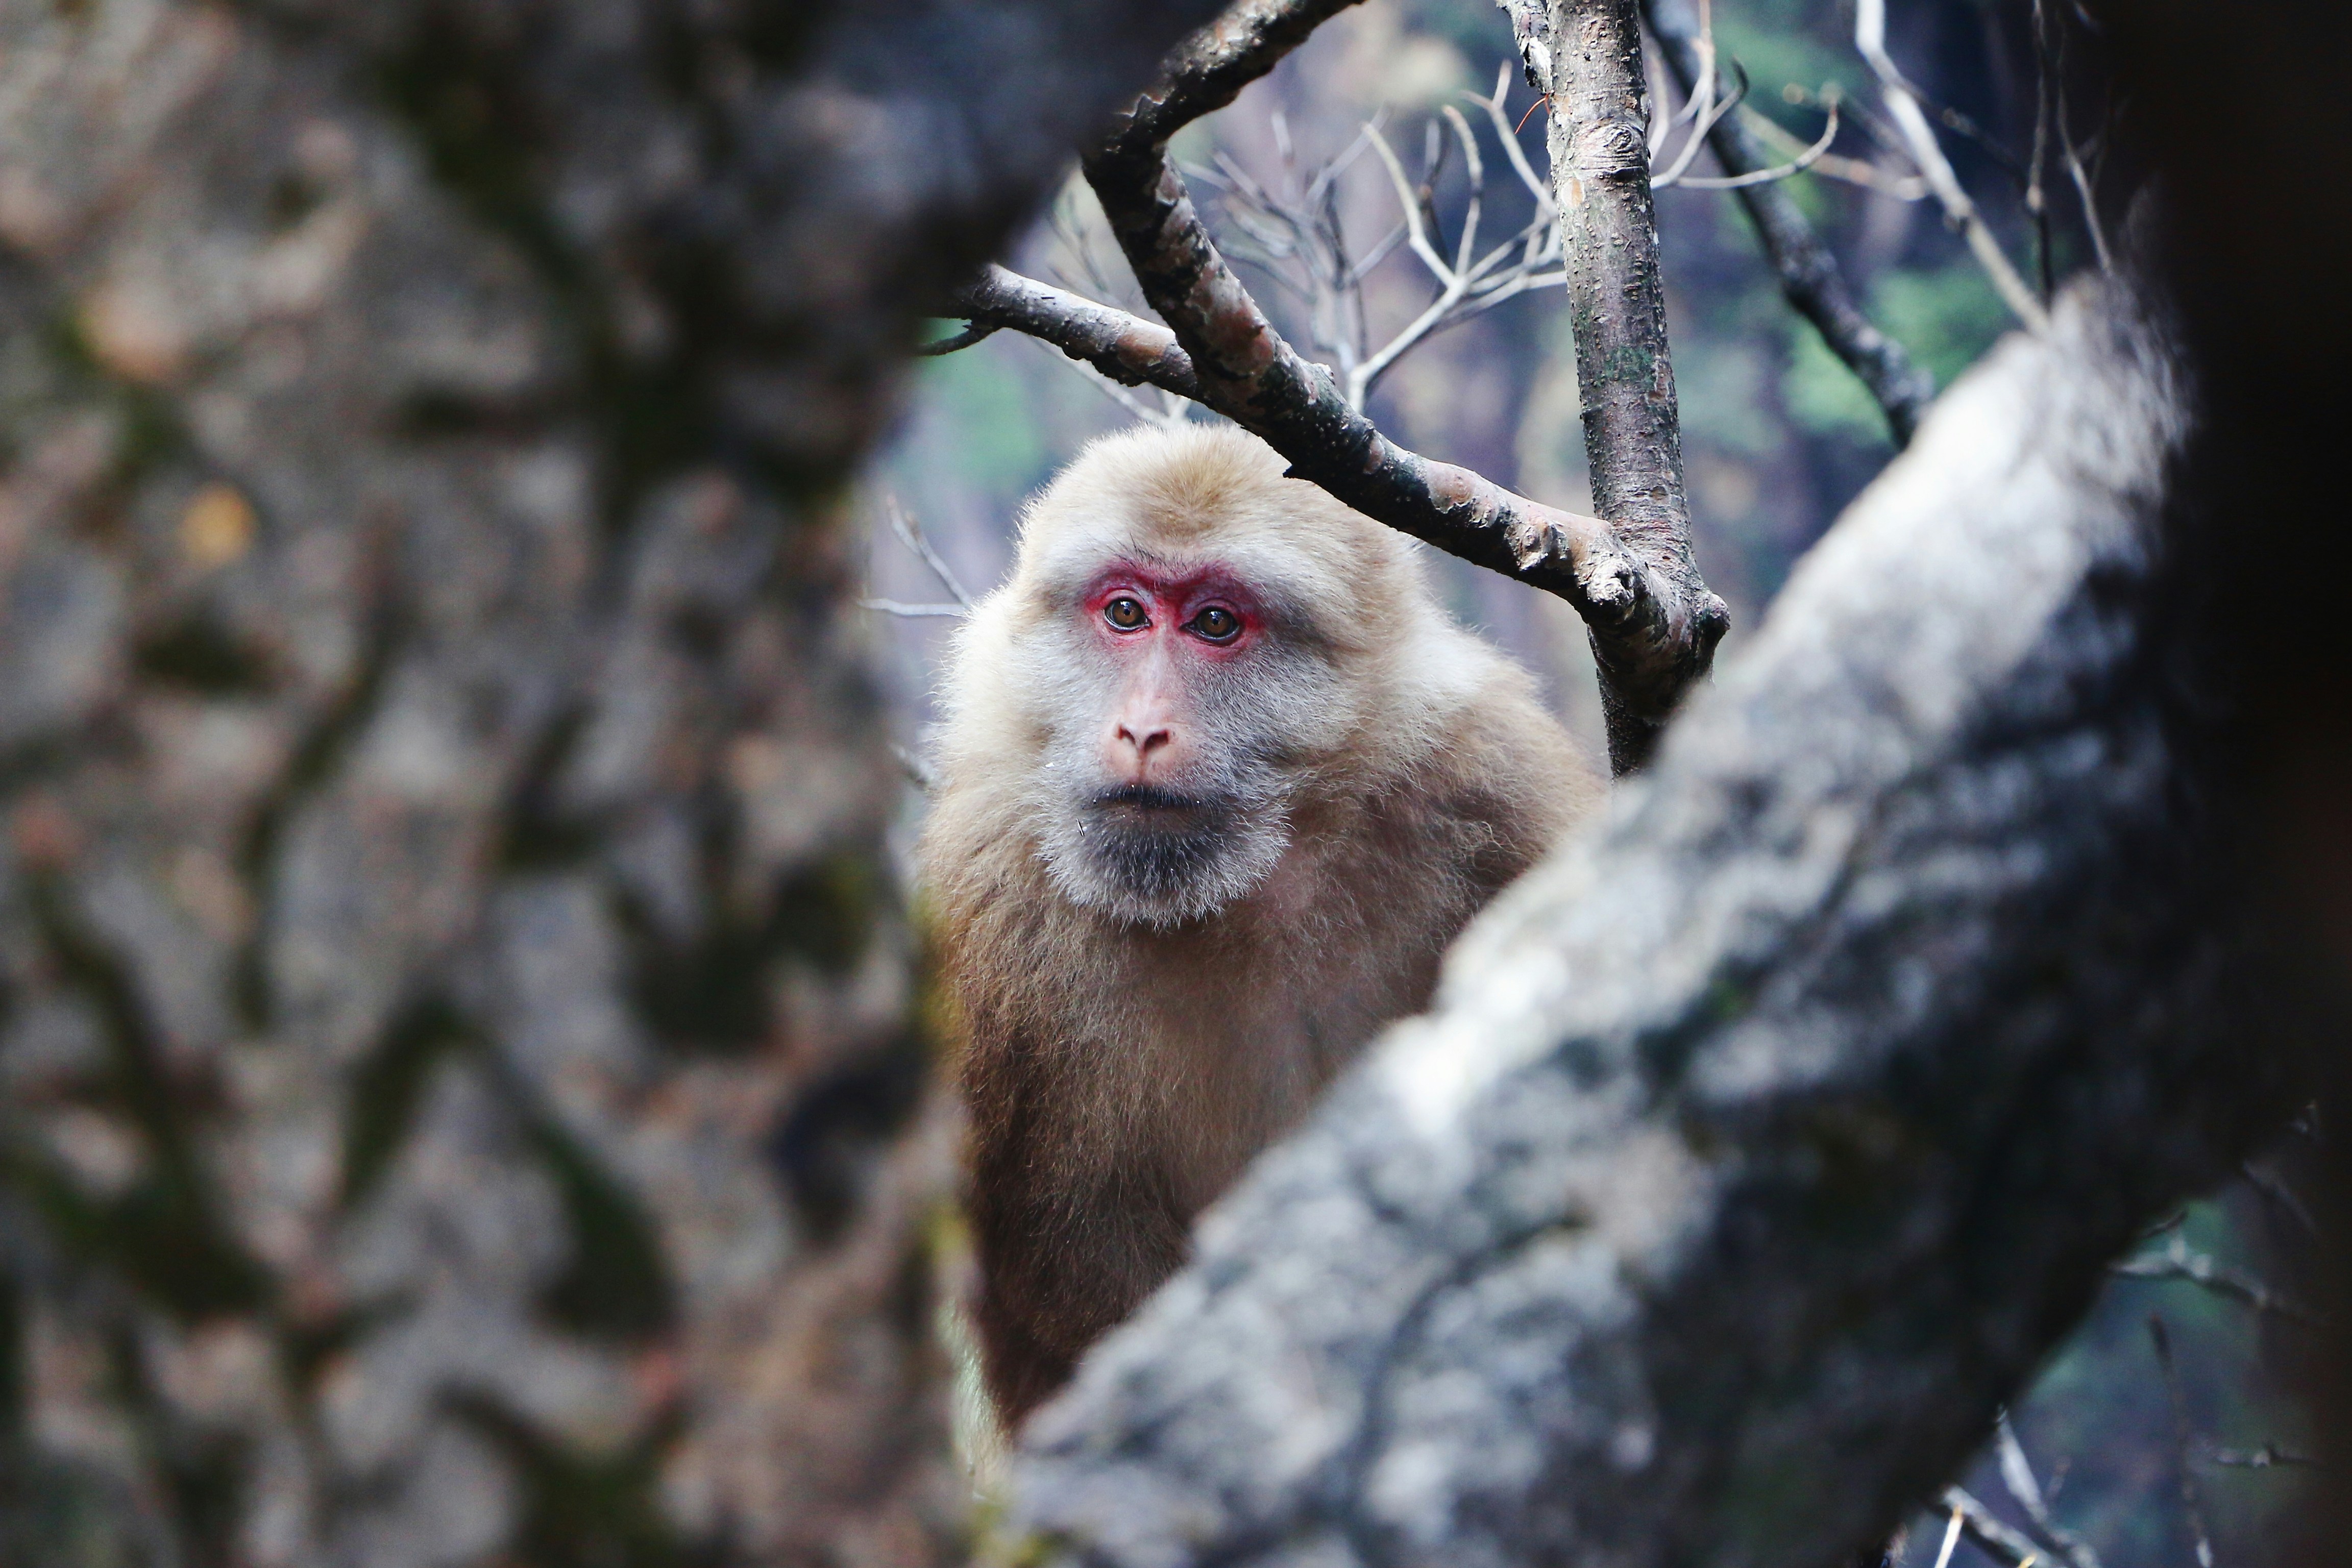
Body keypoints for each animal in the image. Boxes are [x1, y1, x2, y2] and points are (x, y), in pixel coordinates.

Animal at [916, 423, 1602, 1430]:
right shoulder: (984, 890)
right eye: (1125, 613)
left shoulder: (1493, 789)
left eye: (1214, 625)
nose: (1141, 730)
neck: (1240, 879)